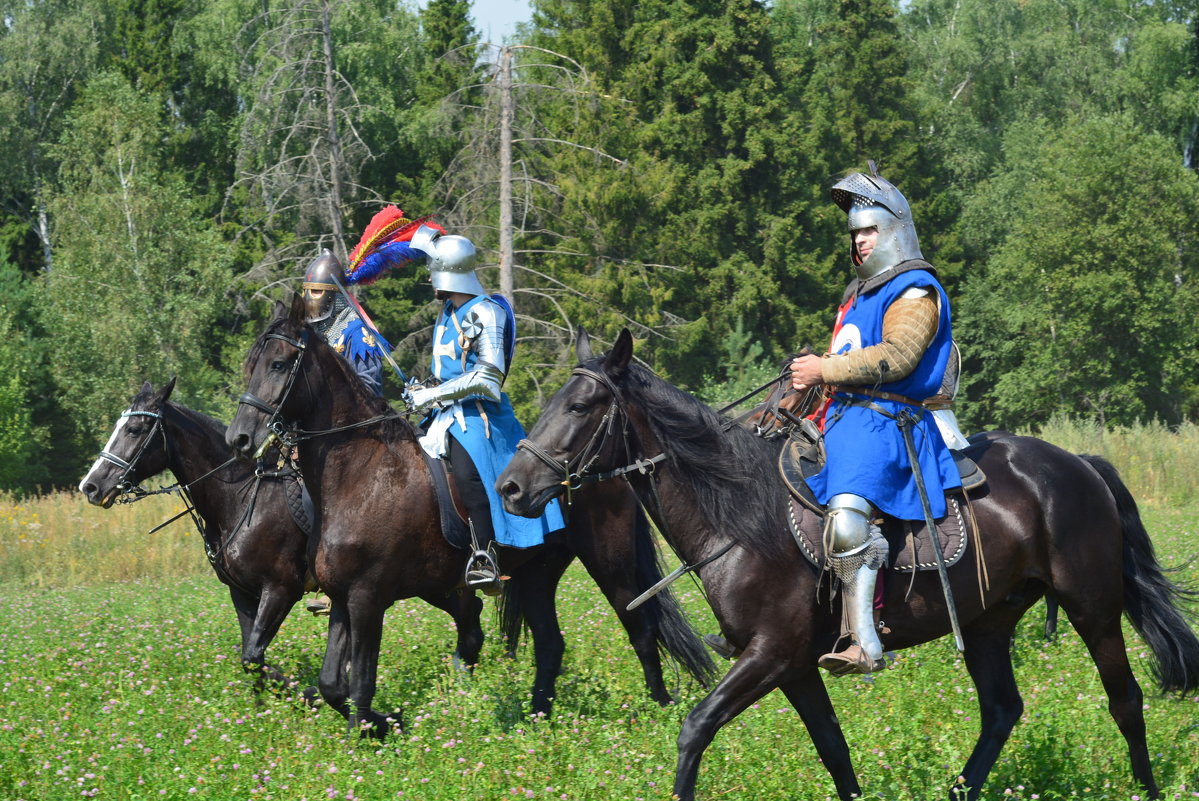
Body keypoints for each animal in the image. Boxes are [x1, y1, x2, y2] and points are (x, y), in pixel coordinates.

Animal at [78, 378, 486, 690]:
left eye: (134, 430)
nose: (91, 487)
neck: (242, 497)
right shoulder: (241, 593)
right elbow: (251, 656)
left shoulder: (279, 590)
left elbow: (254, 655)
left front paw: (298, 693)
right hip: (430, 583)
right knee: (470, 613)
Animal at [223, 302, 709, 738]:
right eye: (251, 364)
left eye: (279, 364)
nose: (240, 438)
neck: (362, 472)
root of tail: (606, 468)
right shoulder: (342, 599)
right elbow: (330, 686)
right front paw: (386, 722)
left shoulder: (367, 599)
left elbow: (359, 683)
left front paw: (376, 729)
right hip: (537, 573)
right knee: (550, 644)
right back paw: (536, 722)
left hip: (612, 563)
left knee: (642, 630)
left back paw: (660, 712)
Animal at [496, 326, 1199, 801]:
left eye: (579, 408)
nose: (510, 488)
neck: (739, 517)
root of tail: (1078, 465)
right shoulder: (794, 667)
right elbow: (834, 752)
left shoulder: (769, 655)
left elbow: (694, 728)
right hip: (988, 622)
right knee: (1002, 710)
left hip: (1092, 607)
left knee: (1125, 700)